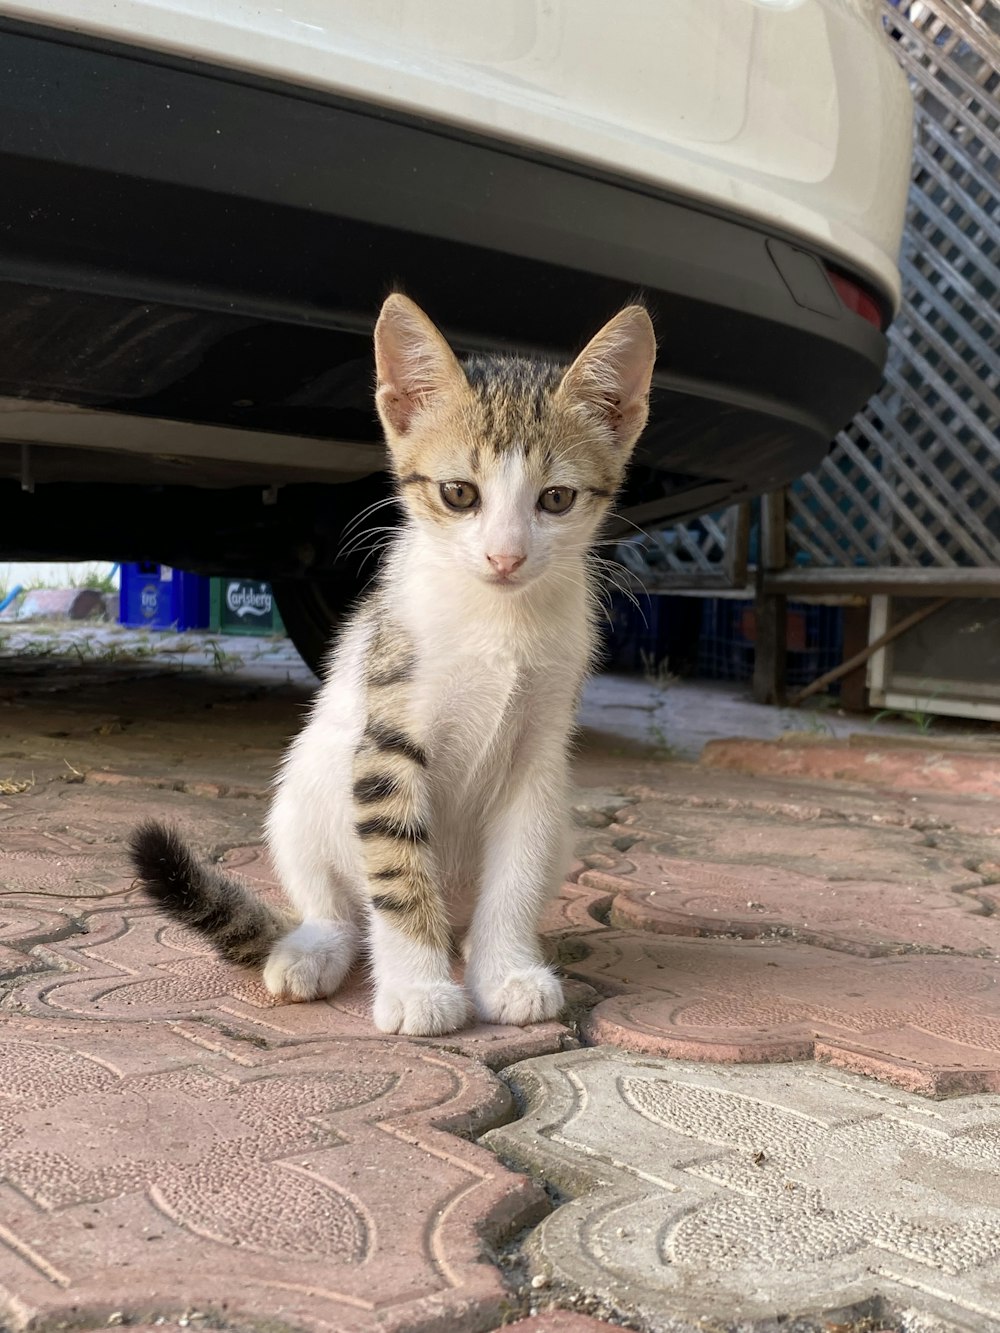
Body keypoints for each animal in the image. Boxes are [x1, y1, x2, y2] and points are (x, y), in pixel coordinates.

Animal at [129, 294, 658, 1039]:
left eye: (556, 498)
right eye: (460, 493)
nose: (505, 557)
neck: (498, 620)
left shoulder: (540, 756)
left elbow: (517, 875)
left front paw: (507, 971)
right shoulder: (386, 737)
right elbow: (398, 873)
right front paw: (417, 987)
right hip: (302, 791)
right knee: (342, 908)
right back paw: (315, 950)